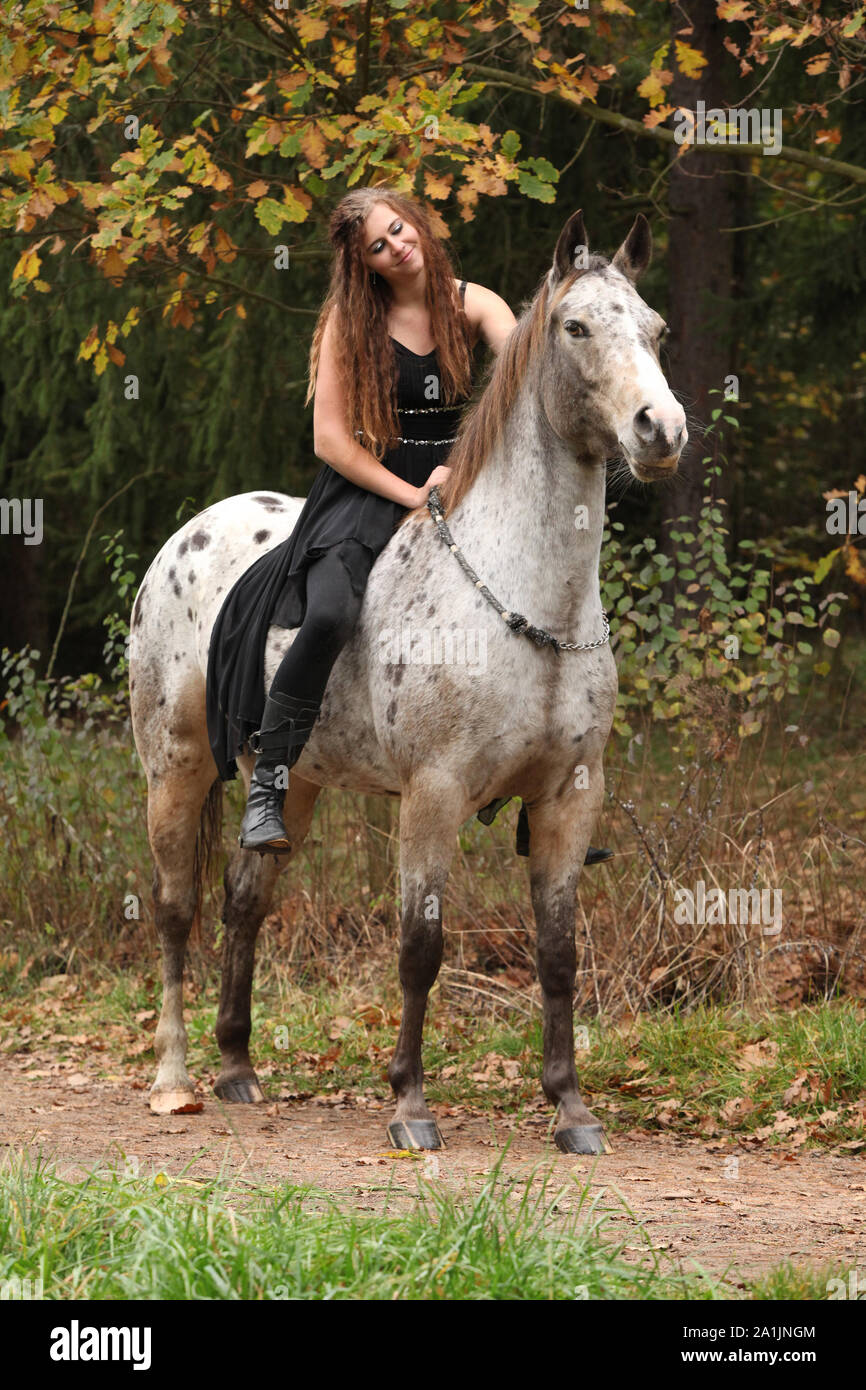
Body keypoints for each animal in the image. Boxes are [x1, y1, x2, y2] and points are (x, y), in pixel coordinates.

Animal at [129, 210, 686, 1155]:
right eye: (576, 327)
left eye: (654, 330)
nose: (662, 429)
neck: (530, 599)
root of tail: (188, 535)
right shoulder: (435, 793)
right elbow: (421, 947)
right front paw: (411, 1106)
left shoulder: (571, 796)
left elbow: (559, 954)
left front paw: (571, 1111)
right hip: (176, 768)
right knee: (175, 908)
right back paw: (174, 1081)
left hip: (294, 782)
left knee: (245, 899)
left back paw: (237, 1067)